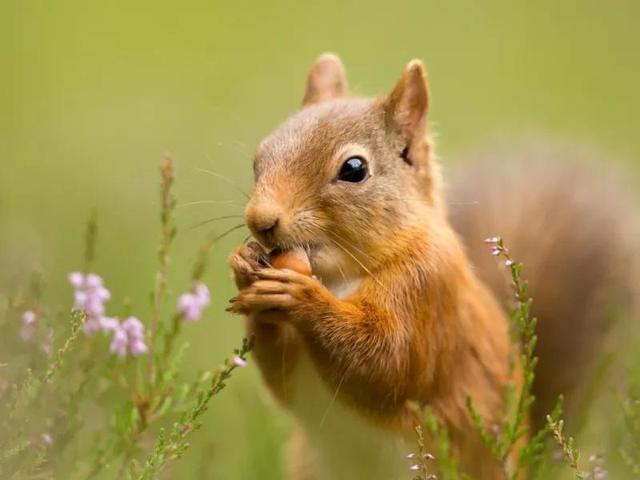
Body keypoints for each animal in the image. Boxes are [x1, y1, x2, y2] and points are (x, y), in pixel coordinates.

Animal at [226, 53, 636, 480]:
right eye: (259, 157)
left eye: (354, 169)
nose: (261, 220)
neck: (341, 277)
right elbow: (281, 377)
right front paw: (244, 267)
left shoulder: (426, 290)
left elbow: (386, 362)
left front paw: (300, 296)